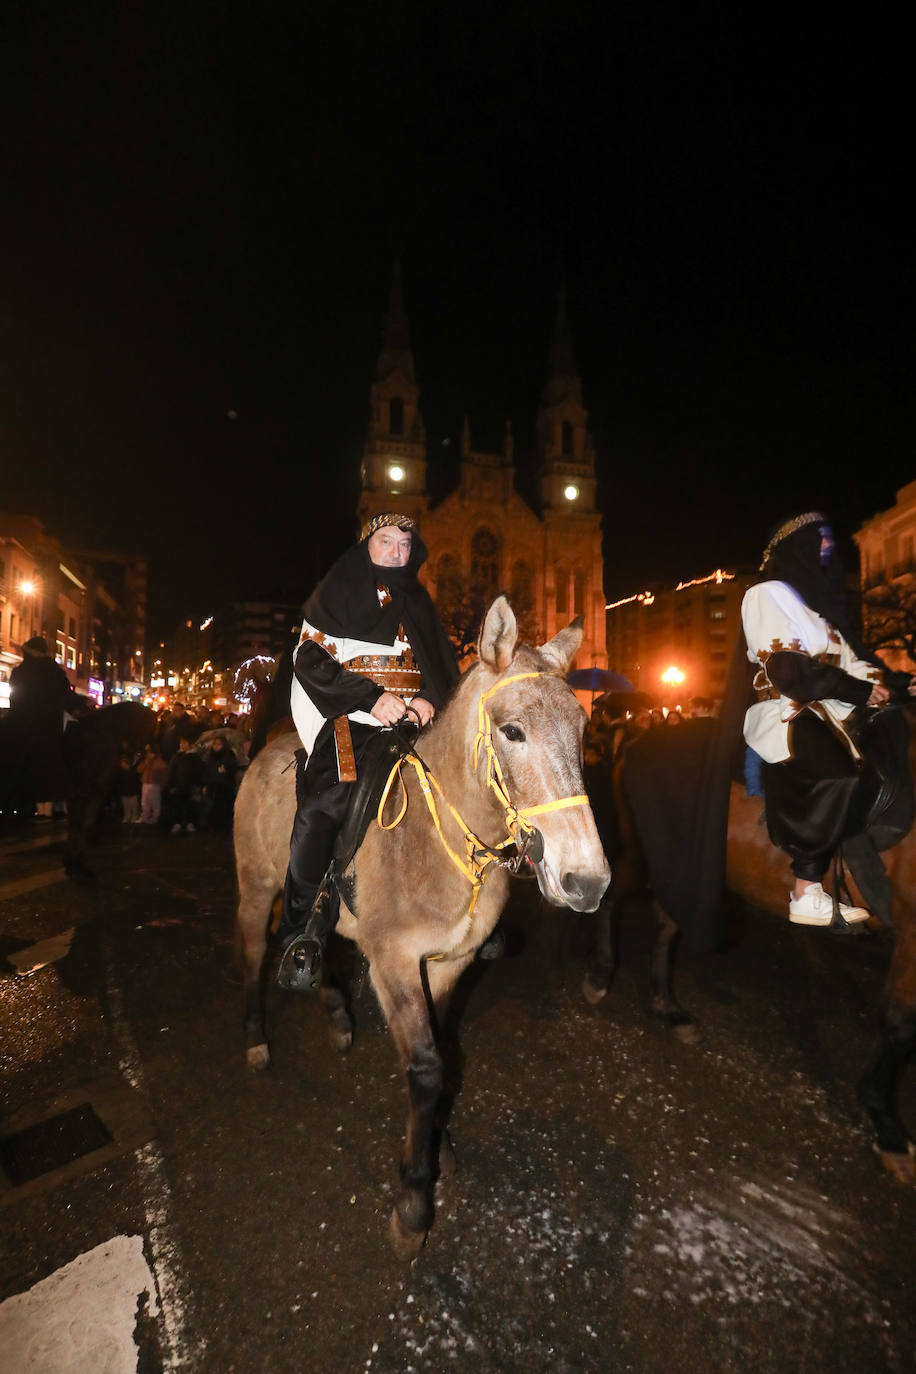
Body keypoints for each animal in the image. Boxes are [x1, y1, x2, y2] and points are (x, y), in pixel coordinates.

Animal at [234, 596, 609, 1258]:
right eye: (512, 731)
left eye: (583, 730)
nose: (586, 882)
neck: (438, 840)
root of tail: (264, 754)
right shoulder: (394, 963)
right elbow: (427, 1068)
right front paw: (413, 1201)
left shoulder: (449, 962)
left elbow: (443, 1055)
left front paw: (438, 1150)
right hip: (256, 888)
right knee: (257, 951)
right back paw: (258, 1036)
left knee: (311, 941)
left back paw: (334, 1010)